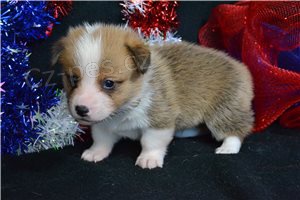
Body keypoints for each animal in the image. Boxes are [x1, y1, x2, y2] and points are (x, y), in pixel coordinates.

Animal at [52, 23, 254, 170]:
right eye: (73, 79)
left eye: (109, 83)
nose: (81, 109)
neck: (125, 107)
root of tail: (241, 68)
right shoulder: (103, 124)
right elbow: (101, 139)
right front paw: (95, 152)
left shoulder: (159, 121)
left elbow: (151, 142)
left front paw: (148, 159)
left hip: (224, 110)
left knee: (235, 130)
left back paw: (228, 147)